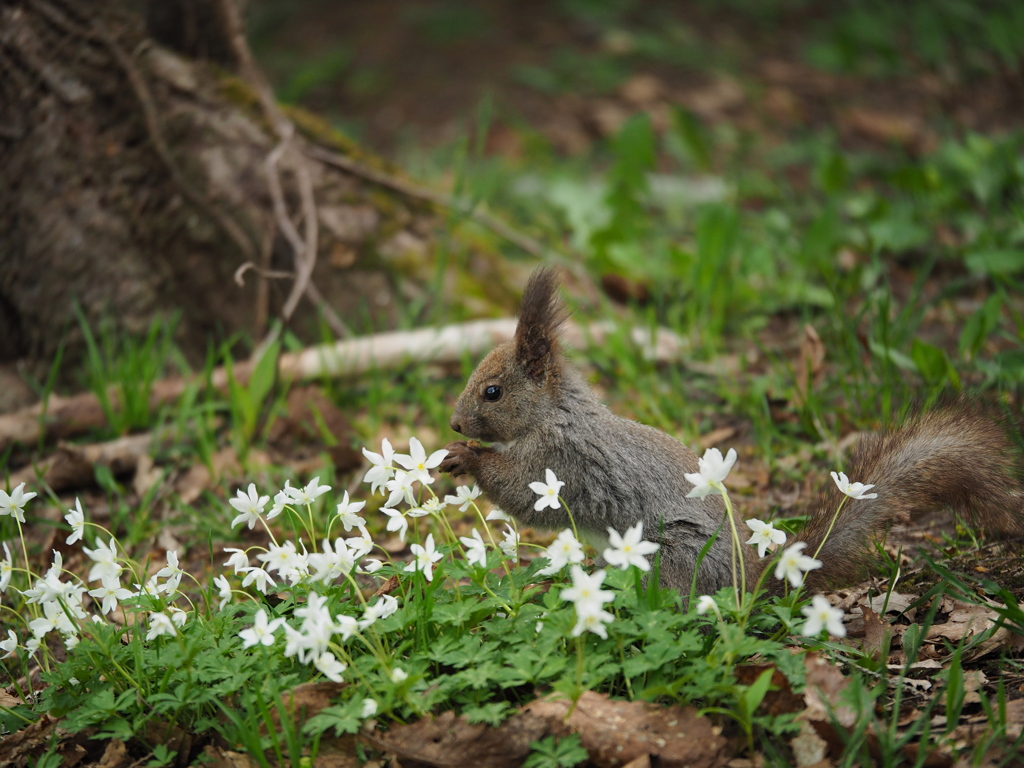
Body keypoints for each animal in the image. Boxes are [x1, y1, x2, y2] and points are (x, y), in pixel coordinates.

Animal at [438, 268, 1024, 598]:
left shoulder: (557, 464)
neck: (552, 415)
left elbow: (522, 495)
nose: (454, 424)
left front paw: (466, 458)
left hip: (669, 557)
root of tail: (752, 583)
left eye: (492, 392)